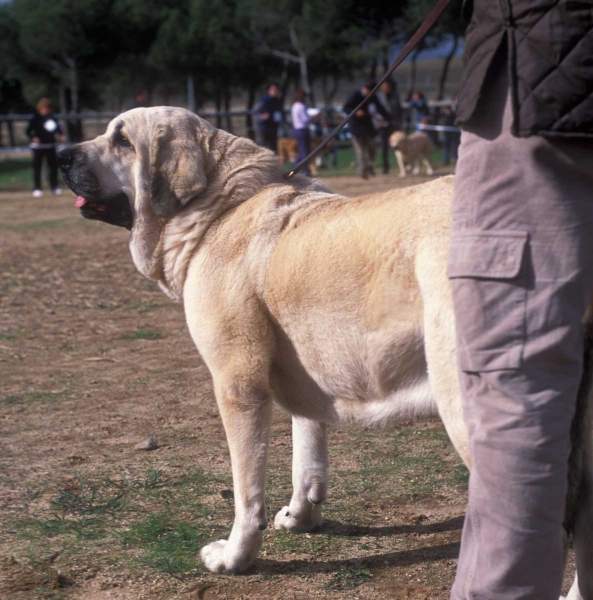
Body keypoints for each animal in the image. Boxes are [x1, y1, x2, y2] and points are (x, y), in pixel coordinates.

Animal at [60, 108, 592, 600]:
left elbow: (246, 489)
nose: (62, 154)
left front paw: (235, 557)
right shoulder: (305, 374)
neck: (218, 207)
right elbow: (307, 452)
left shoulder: (238, 385)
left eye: (122, 139)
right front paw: (302, 515)